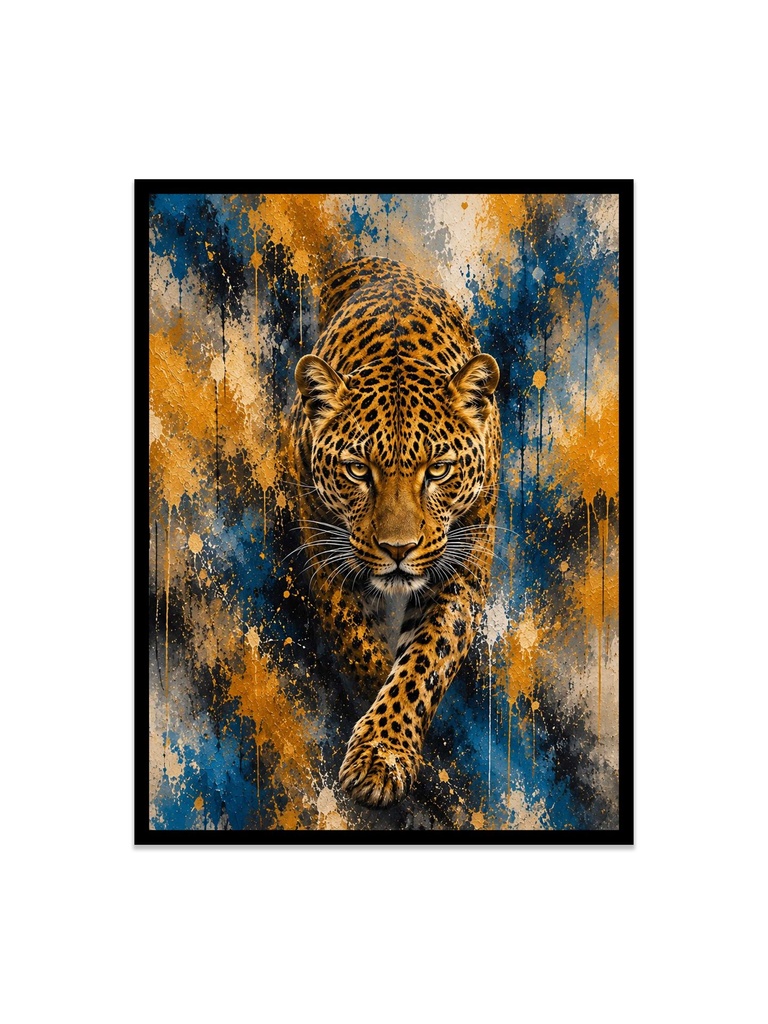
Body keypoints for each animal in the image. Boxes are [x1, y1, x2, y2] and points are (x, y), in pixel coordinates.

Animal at [290, 256, 501, 808]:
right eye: (358, 470)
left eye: (439, 470)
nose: (398, 550)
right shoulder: (325, 552)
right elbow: (359, 644)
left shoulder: (464, 568)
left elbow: (423, 663)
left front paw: (381, 755)